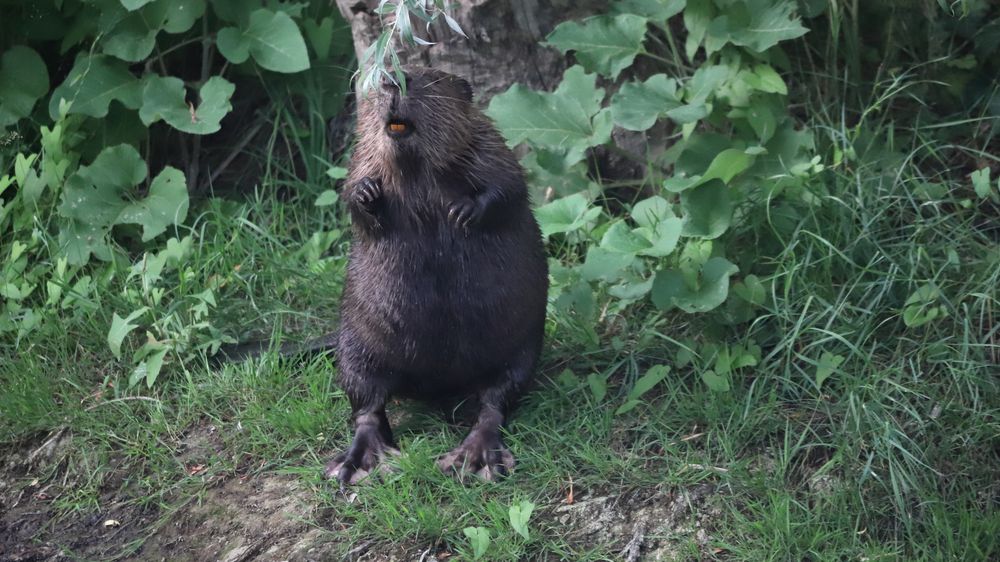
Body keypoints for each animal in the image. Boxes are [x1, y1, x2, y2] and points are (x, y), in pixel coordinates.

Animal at [322, 66, 548, 482]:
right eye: (382, 79)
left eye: (430, 76)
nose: (395, 80)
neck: (413, 170)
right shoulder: (363, 155)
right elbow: (352, 196)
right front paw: (366, 193)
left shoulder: (487, 141)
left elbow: (509, 185)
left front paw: (463, 210)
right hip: (356, 347)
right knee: (366, 404)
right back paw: (359, 463)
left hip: (522, 347)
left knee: (495, 400)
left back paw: (475, 459)